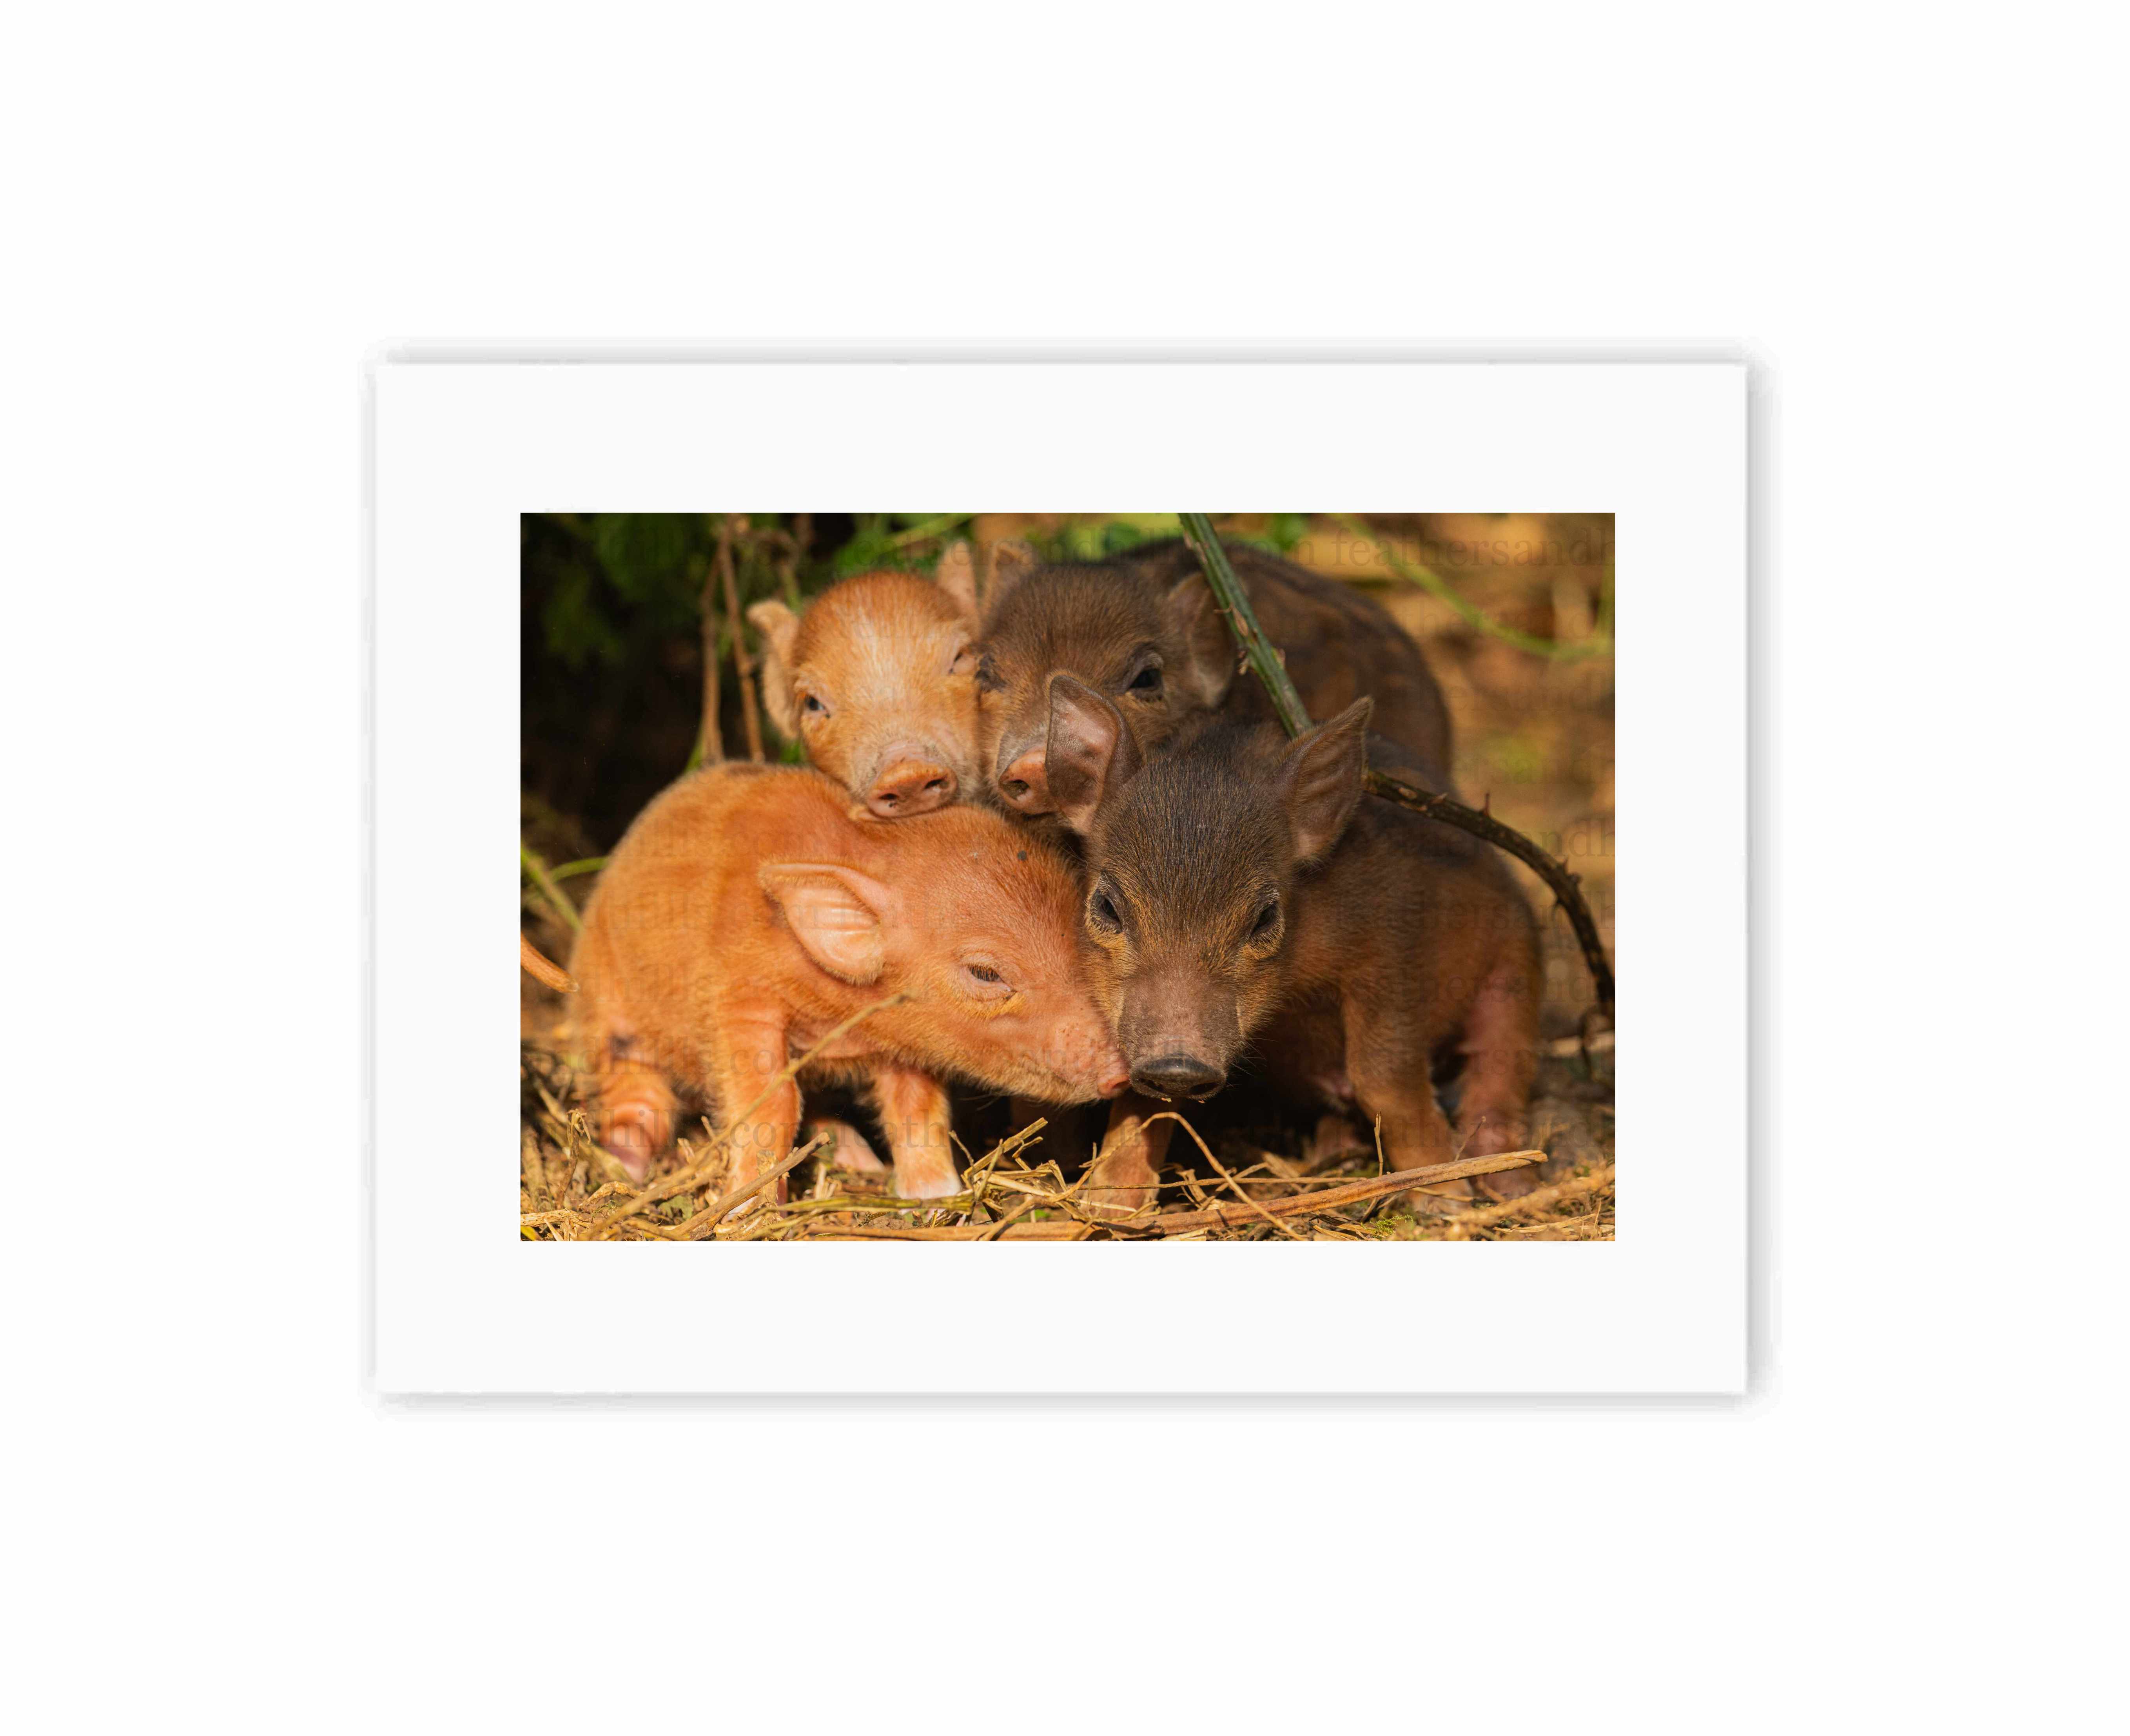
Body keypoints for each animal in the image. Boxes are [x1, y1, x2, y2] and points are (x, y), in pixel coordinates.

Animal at [567, 760, 1129, 1202]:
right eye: (985, 973)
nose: (1123, 1071)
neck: (839, 1016)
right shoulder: (740, 999)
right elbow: (771, 1098)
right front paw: (748, 1206)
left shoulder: (906, 1034)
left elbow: (917, 1105)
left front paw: (935, 1195)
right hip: (605, 1011)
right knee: (637, 1093)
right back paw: (626, 1164)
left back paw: (858, 1159)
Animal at [1043, 674, 1541, 1215]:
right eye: (1107, 905)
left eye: (1266, 916)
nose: (1178, 1062)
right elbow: (1143, 1102)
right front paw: (1106, 1206)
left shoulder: (1392, 951)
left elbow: (1384, 1077)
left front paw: (1446, 1201)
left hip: (1517, 969)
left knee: (1499, 1069)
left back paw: (1510, 1182)